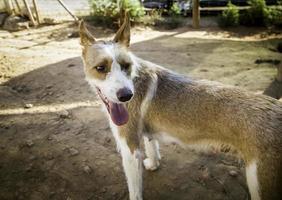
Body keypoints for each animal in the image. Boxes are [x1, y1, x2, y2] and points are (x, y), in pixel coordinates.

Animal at [79, 13, 282, 199]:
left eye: (126, 65)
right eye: (100, 68)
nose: (127, 96)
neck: (134, 79)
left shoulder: (130, 149)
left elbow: (134, 190)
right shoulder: (146, 133)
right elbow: (153, 148)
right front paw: (153, 164)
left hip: (260, 186)